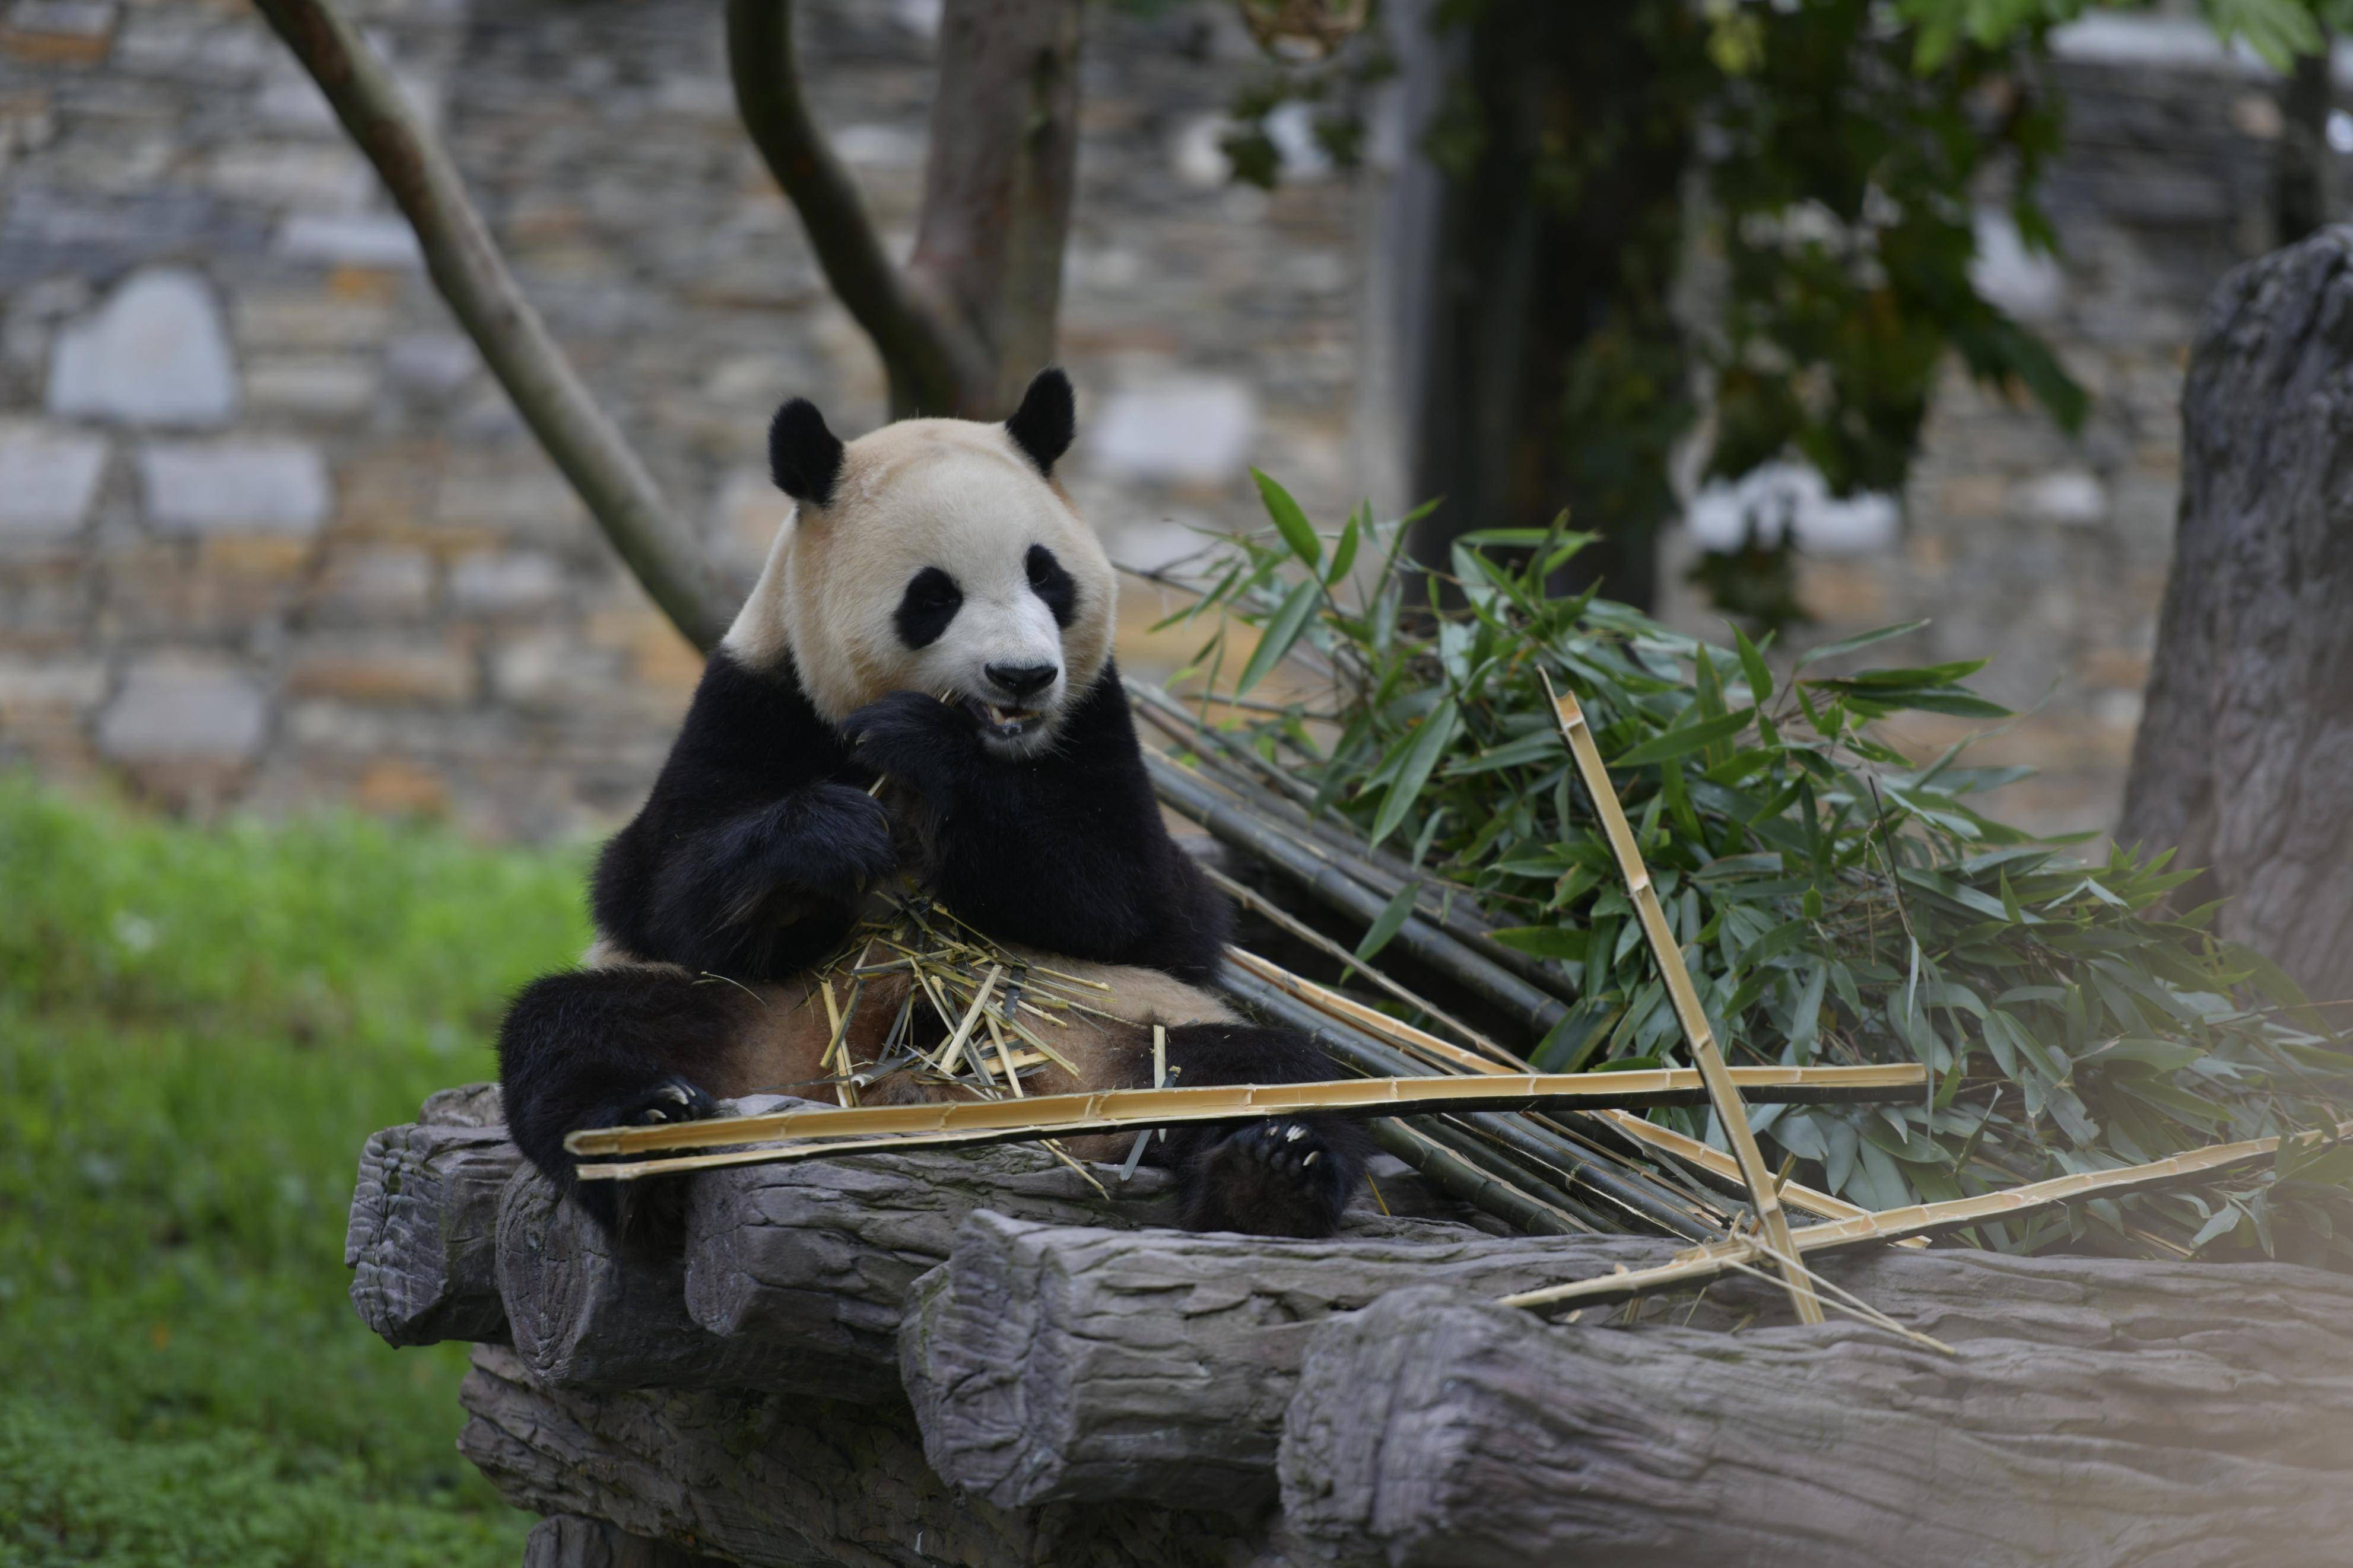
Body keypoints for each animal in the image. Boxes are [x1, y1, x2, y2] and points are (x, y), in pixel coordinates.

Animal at [503, 371, 1374, 1241]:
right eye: (932, 596)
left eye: (1046, 575)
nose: (1022, 676)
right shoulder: (753, 699)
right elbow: (659, 891)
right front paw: (826, 837)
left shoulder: (1100, 730)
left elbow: (1142, 905)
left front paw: (921, 743)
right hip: (734, 1016)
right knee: (571, 1030)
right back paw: (642, 1140)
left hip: (1132, 1022)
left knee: (1267, 1068)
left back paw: (1269, 1172)